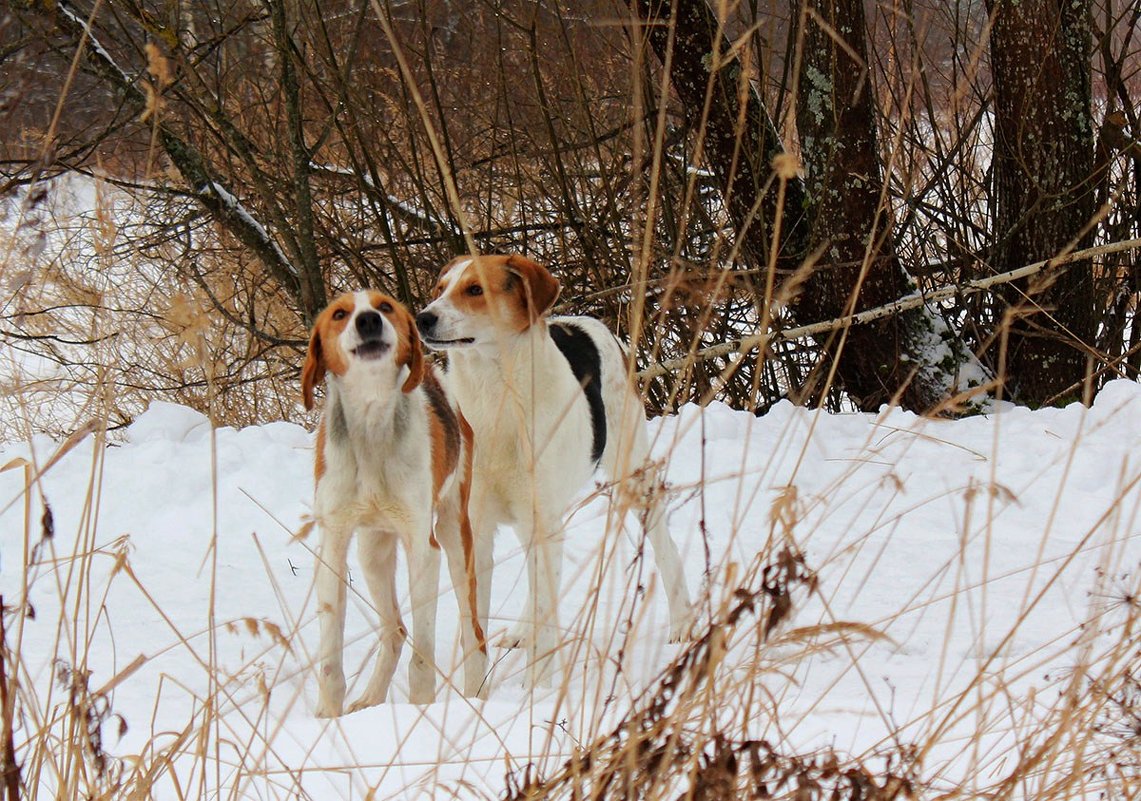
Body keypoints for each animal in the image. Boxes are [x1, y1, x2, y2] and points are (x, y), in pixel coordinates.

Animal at [303, 292, 486, 716]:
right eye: (339, 314)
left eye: (385, 306)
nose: (368, 320)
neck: (372, 424)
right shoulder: (332, 548)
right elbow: (330, 658)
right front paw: (327, 717)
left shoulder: (423, 549)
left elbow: (424, 652)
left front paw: (421, 707)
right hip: (373, 553)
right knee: (396, 629)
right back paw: (370, 698)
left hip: (455, 540)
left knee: (474, 633)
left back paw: (475, 696)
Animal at [415, 254, 689, 689]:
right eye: (441, 288)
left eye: (476, 289)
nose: (423, 318)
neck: (496, 397)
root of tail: (588, 322)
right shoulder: (473, 527)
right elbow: (474, 624)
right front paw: (475, 692)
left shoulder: (542, 521)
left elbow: (545, 615)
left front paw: (537, 688)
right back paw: (521, 630)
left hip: (631, 476)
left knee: (666, 548)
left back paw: (682, 620)